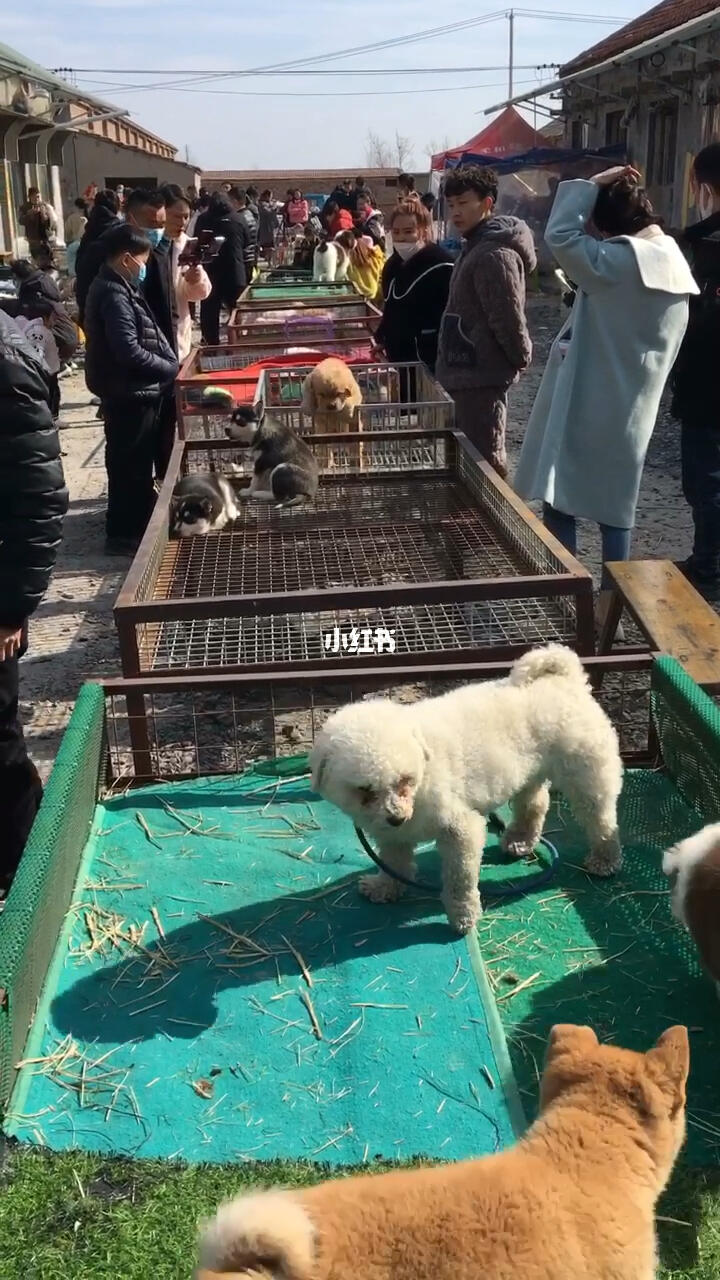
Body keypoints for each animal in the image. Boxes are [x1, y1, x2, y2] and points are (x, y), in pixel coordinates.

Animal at [310, 645, 622, 936]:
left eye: (405, 780)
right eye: (365, 789)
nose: (397, 817)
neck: (424, 774)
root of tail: (566, 678)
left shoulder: (461, 829)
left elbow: (460, 878)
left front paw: (463, 916)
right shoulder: (392, 835)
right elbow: (393, 861)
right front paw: (385, 887)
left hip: (586, 776)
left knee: (601, 818)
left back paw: (604, 859)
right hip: (528, 772)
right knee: (535, 804)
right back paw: (520, 840)